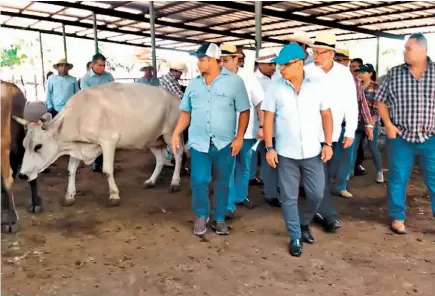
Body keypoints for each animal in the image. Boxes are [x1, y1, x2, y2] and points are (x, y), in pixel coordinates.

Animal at [13, 82, 184, 207]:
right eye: (24, 145)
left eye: (38, 146)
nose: (22, 175)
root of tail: (175, 97)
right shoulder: (77, 147)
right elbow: (70, 170)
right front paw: (69, 195)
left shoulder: (109, 141)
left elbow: (107, 170)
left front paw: (114, 195)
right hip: (153, 139)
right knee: (160, 159)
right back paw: (150, 181)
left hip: (170, 134)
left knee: (179, 154)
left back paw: (175, 182)